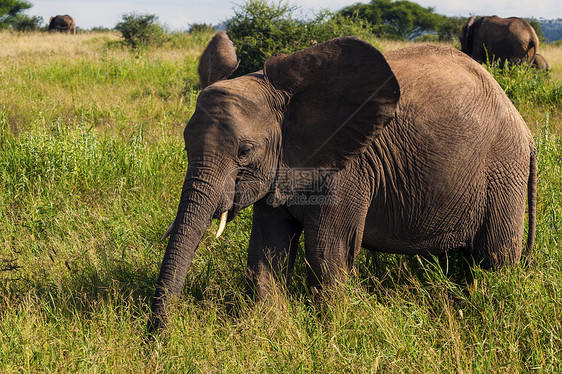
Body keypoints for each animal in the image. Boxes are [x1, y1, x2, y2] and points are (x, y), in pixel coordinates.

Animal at [148, 32, 532, 330]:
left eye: (244, 151)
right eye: (185, 143)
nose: (157, 341)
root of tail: (525, 131)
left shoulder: (350, 169)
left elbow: (326, 250)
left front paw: (332, 331)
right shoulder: (282, 166)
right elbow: (266, 250)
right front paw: (273, 331)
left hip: (503, 172)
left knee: (495, 258)